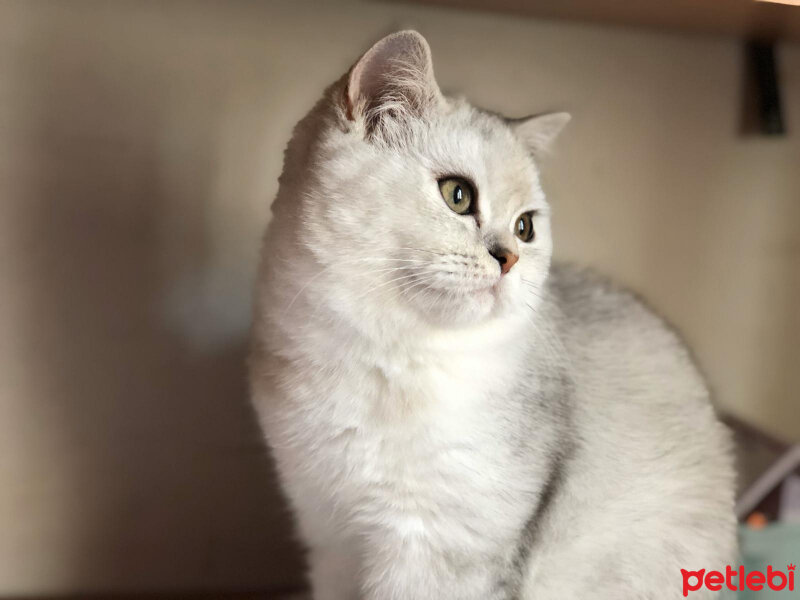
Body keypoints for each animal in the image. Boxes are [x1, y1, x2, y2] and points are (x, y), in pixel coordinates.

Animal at [248, 29, 732, 600]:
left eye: (526, 228)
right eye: (457, 195)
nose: (510, 259)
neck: (383, 353)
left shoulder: (436, 549)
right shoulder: (330, 536)